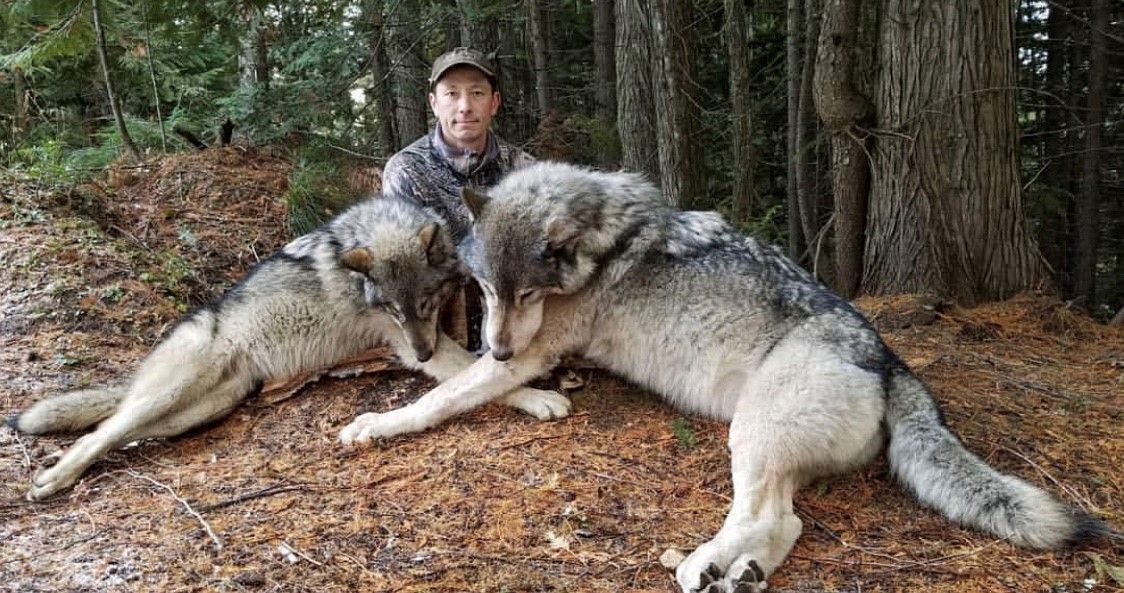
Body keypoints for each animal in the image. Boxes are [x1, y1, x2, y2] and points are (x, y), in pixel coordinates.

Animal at [10, 195, 570, 502]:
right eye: (391, 311)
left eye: (426, 303)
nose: (425, 356)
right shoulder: (408, 346)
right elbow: (474, 376)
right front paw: (539, 397)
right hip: (169, 394)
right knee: (100, 432)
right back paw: (53, 478)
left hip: (193, 412)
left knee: (117, 432)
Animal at [338, 162, 1110, 592]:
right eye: (485, 290)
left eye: (526, 294)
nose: (495, 351)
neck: (601, 240)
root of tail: (888, 359)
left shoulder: (531, 351)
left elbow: (438, 398)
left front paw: (374, 424)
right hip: (770, 449)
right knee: (786, 523)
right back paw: (740, 574)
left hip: (751, 433)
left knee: (762, 516)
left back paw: (703, 563)